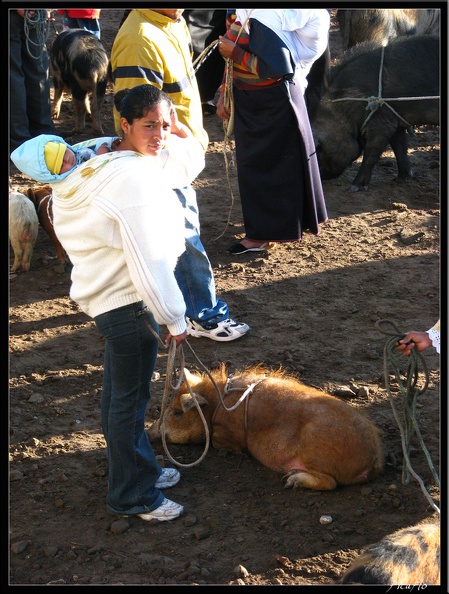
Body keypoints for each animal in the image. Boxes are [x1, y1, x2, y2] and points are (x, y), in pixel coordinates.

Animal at [310, 34, 440, 191]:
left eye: (319, 149)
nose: (320, 179)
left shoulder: (380, 123)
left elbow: (371, 154)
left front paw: (354, 188)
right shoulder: (395, 120)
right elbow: (399, 148)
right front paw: (401, 179)